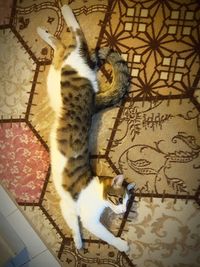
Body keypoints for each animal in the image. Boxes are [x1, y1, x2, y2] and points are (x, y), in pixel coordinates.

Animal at [37, 4, 133, 253]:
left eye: (127, 203)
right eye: (119, 199)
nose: (122, 212)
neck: (97, 190)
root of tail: (93, 100)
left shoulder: (68, 207)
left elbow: (74, 226)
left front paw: (78, 242)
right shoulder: (90, 218)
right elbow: (104, 234)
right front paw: (121, 243)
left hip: (57, 73)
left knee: (61, 46)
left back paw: (44, 32)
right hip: (73, 66)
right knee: (78, 37)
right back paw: (66, 11)